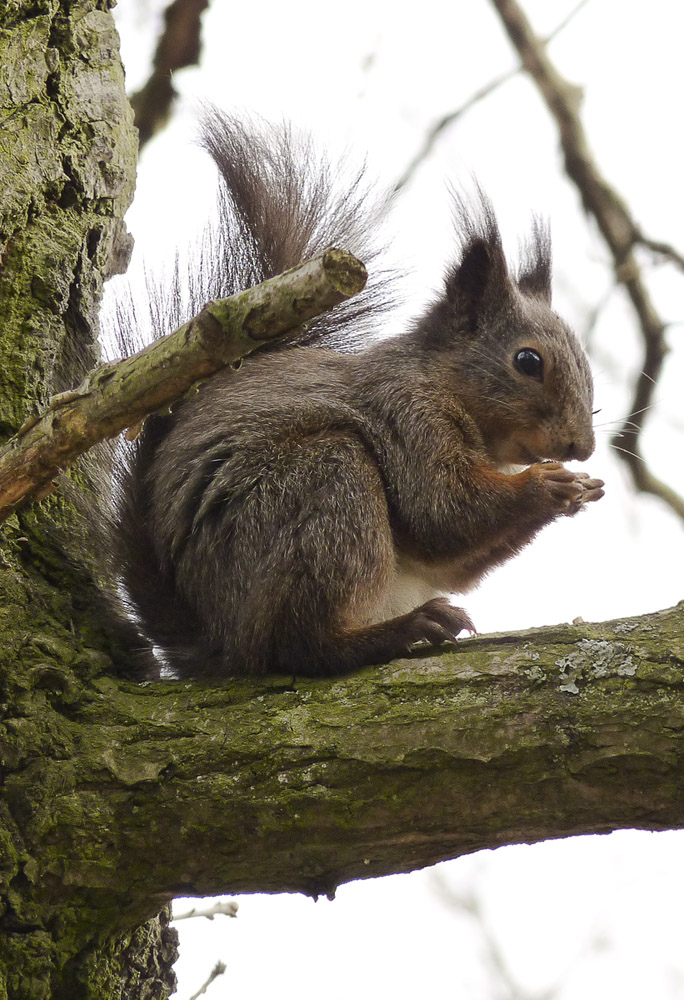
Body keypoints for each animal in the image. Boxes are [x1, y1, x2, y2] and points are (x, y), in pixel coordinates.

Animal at [99, 111, 600, 680]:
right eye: (528, 361)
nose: (582, 447)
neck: (440, 379)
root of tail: (220, 642)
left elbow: (452, 558)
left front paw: (579, 488)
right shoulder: (406, 417)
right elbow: (443, 510)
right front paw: (548, 486)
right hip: (321, 488)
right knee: (298, 645)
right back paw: (397, 632)